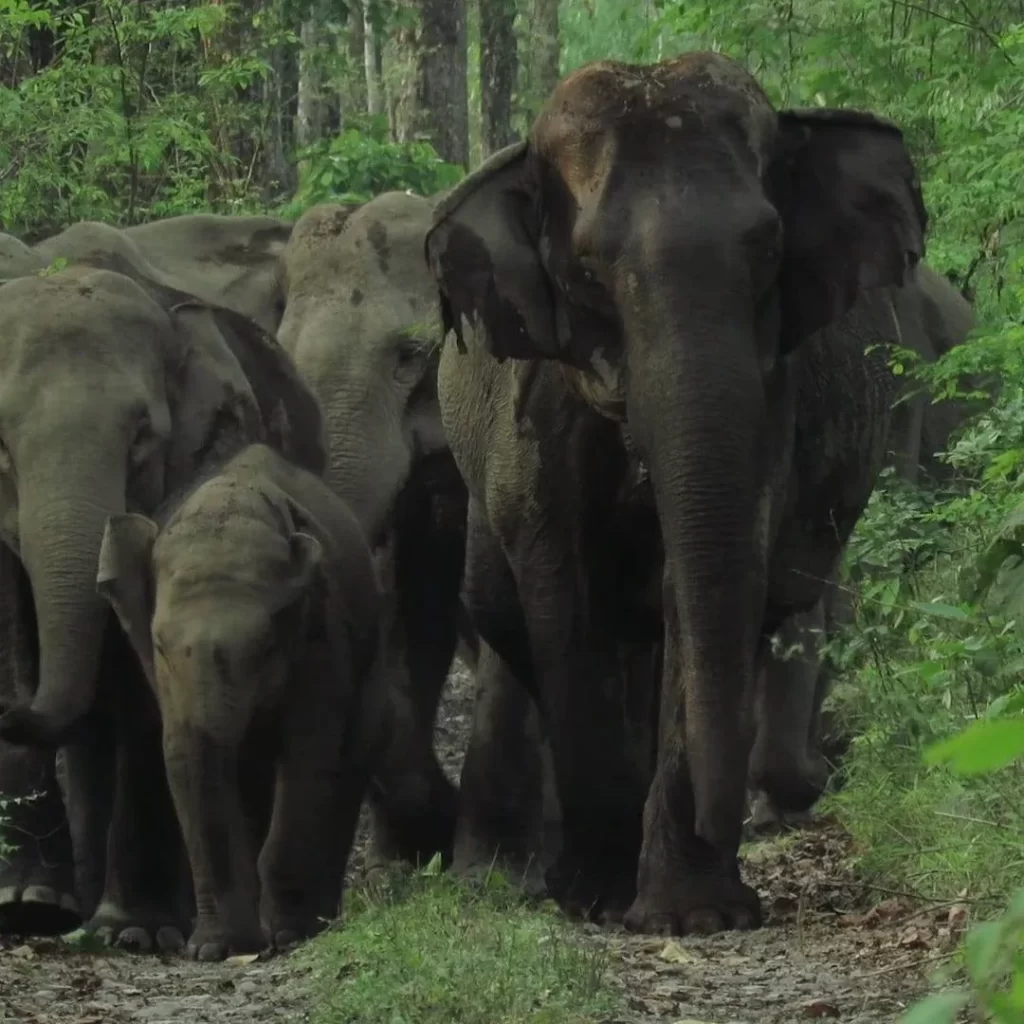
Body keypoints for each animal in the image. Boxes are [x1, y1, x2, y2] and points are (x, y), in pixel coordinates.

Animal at [0, 226, 323, 942]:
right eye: (1, 452)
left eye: (143, 438)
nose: (13, 714)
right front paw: (27, 904)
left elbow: (147, 687)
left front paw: (134, 931)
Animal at [94, 442, 387, 958]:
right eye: (160, 646)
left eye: (265, 646)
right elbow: (182, 759)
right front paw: (217, 950)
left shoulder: (321, 633)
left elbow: (309, 754)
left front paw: (289, 935)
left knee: (349, 758)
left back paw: (315, 920)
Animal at [423, 54, 929, 937]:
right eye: (588, 271)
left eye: (769, 249)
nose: (737, 825)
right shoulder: (536, 407)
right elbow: (563, 596)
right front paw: (593, 895)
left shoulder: (773, 404)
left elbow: (702, 586)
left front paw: (694, 915)